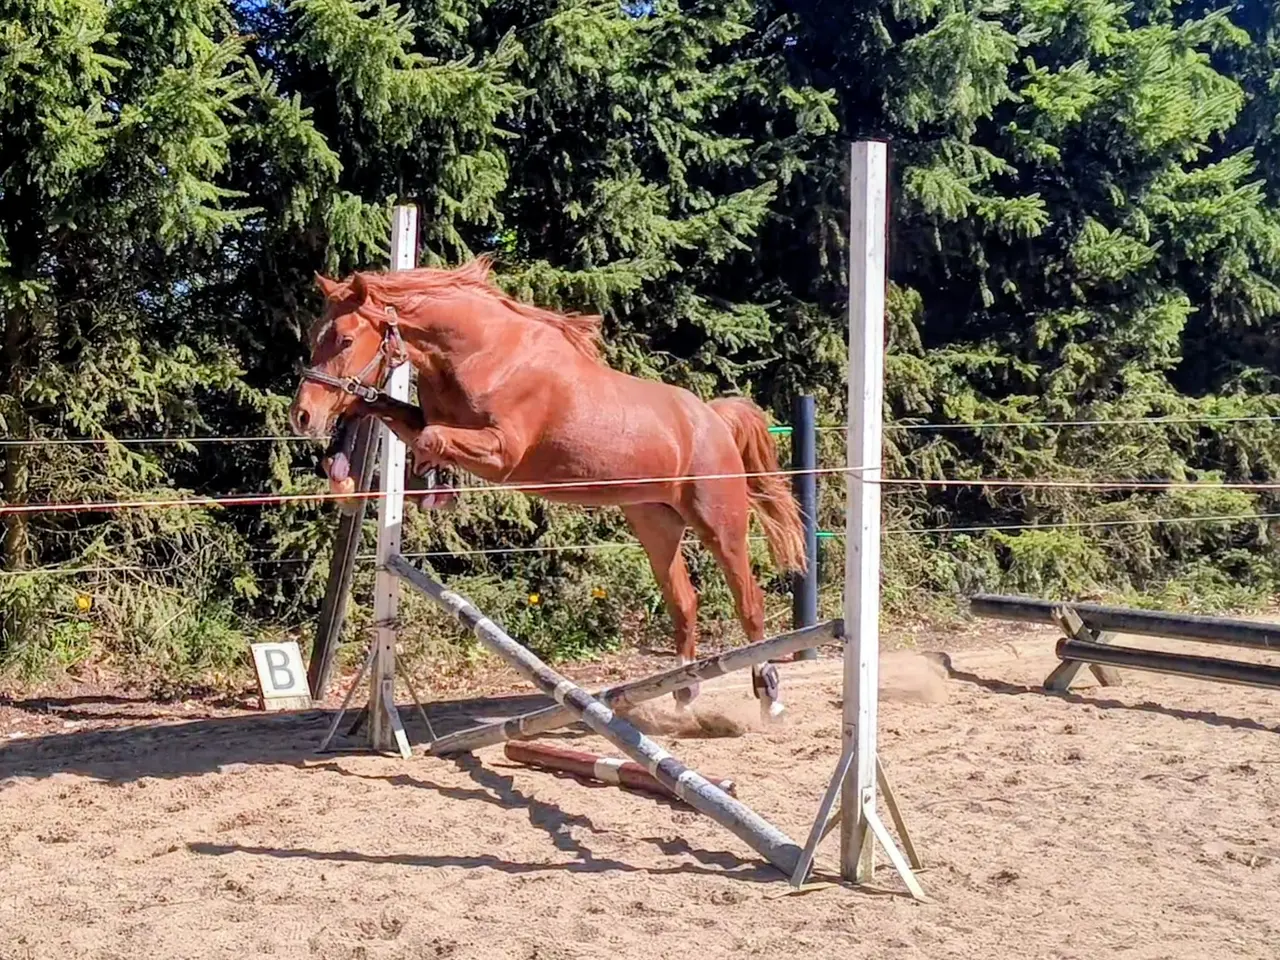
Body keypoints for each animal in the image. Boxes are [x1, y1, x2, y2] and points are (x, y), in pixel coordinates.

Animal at [288, 257, 807, 720]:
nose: (303, 417)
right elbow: (386, 411)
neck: (480, 352)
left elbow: (431, 438)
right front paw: (355, 473)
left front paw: (427, 480)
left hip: (719, 523)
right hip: (656, 524)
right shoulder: (428, 417)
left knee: (749, 601)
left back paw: (769, 694)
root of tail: (713, 418)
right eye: (314, 336)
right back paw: (683, 694)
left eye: (346, 338)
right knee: (684, 601)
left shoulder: (503, 453)